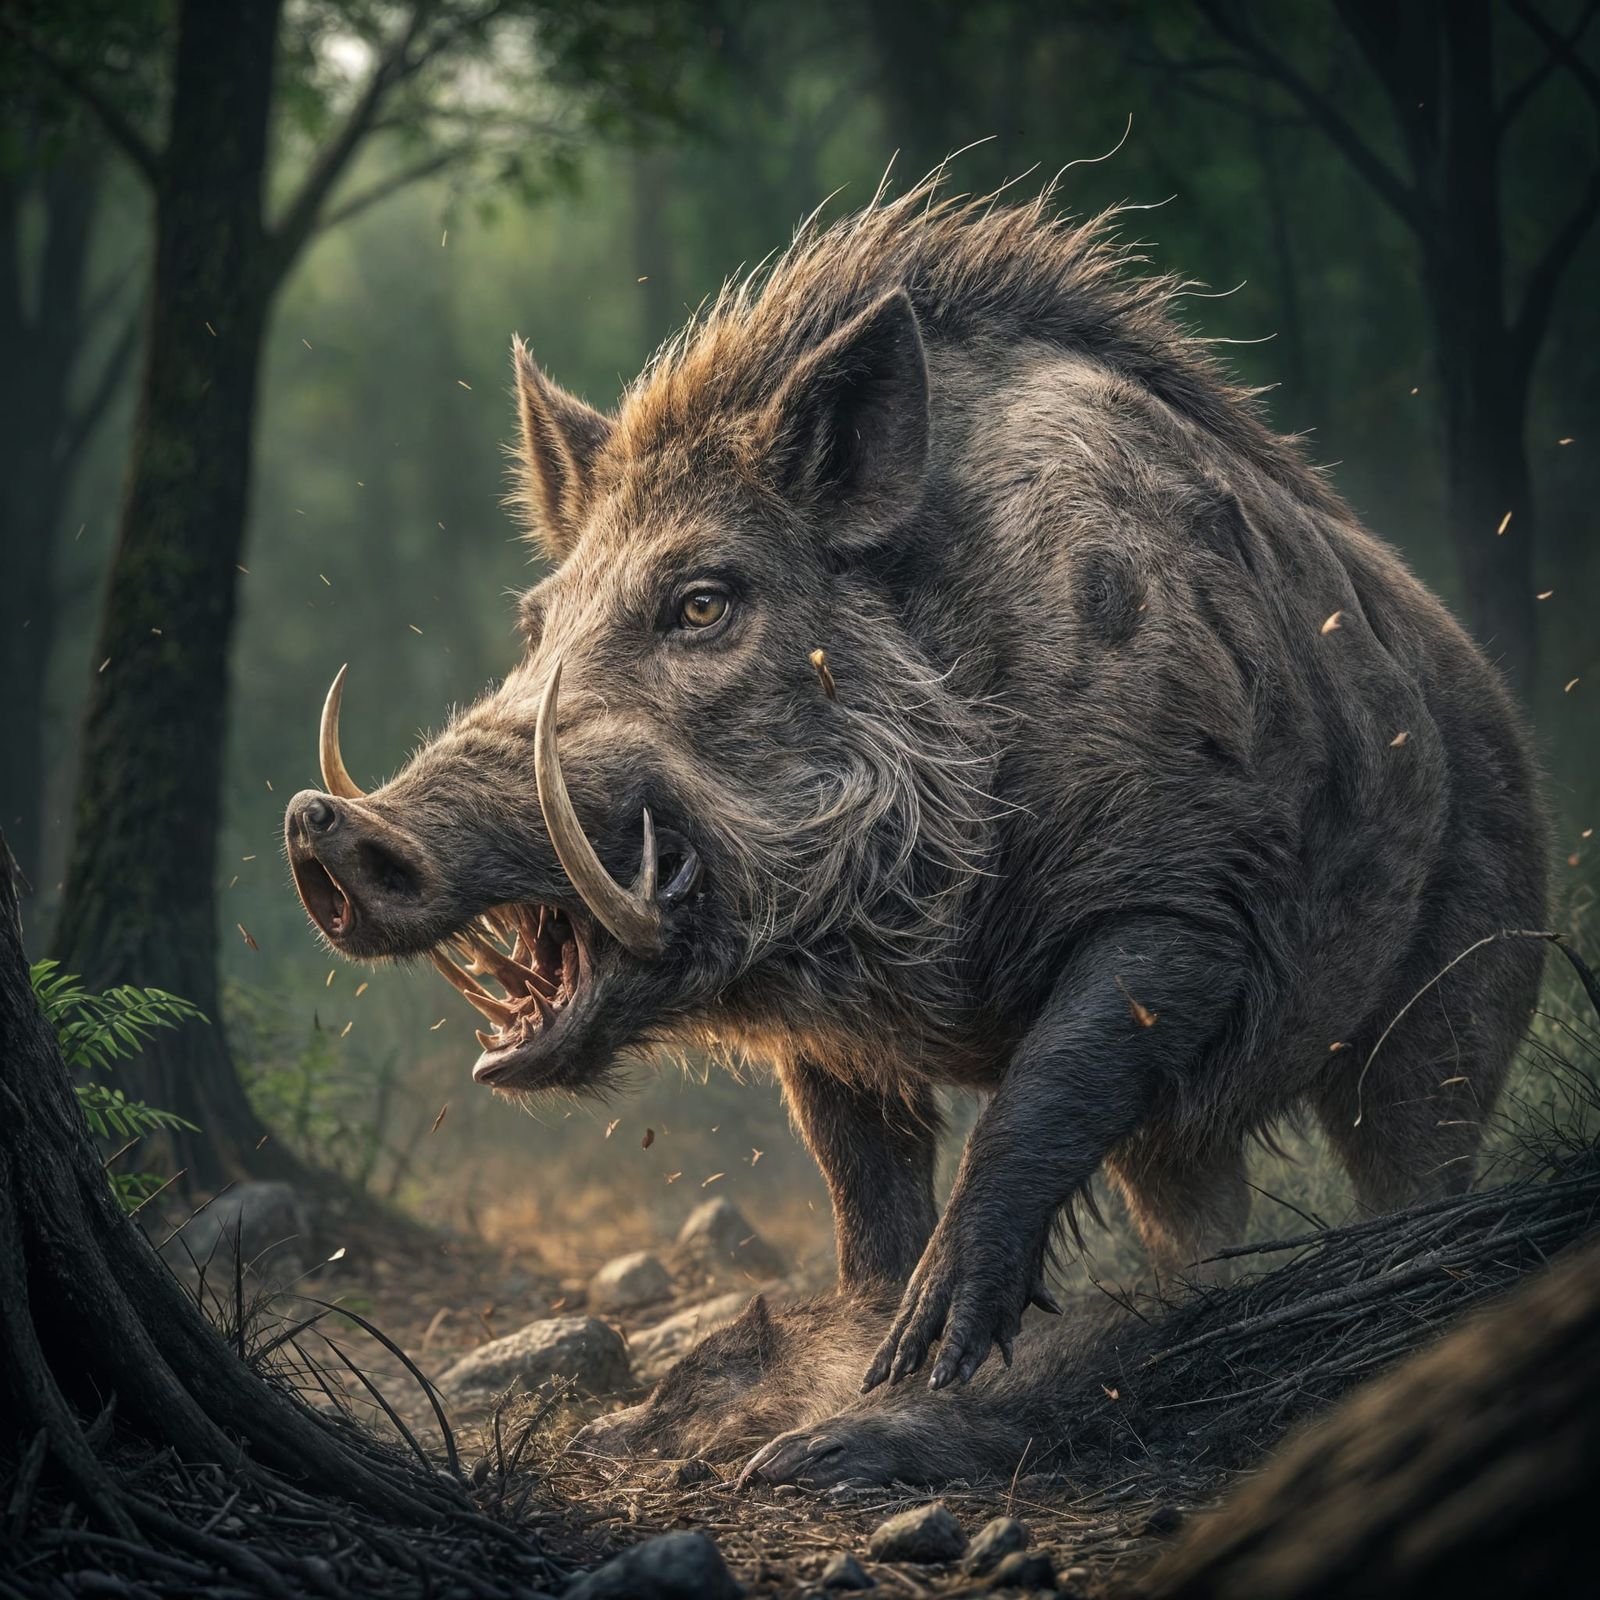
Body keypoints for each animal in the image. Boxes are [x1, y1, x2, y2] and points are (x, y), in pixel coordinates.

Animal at [284, 175, 1546, 1420]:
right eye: (535, 622)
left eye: (703, 602)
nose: (322, 823)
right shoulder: (836, 1035)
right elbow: (861, 1187)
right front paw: (853, 1359)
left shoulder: (1184, 909)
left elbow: (1032, 1104)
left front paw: (921, 1362)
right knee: (1190, 1197)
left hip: (1466, 971)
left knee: (1412, 1145)